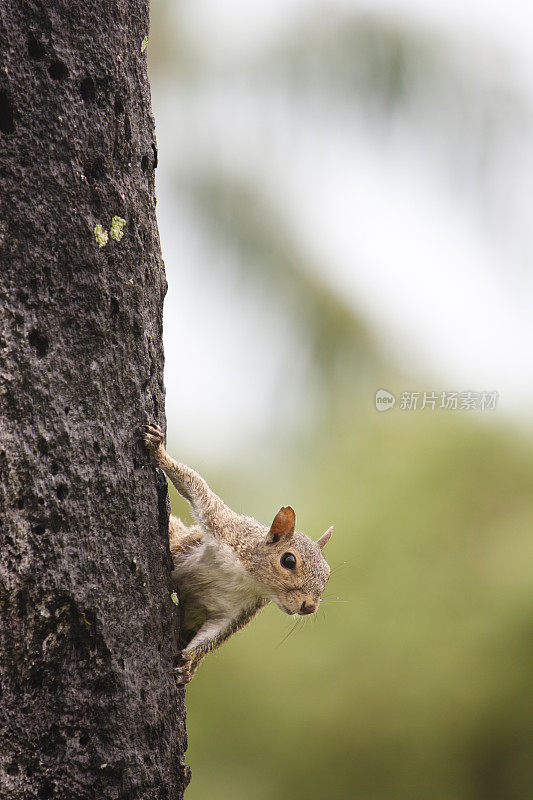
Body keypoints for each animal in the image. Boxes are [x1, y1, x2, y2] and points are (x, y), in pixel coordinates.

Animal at [139, 422, 330, 684]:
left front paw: (188, 660)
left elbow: (215, 634)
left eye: (327, 575)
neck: (246, 577)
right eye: (288, 560)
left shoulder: (239, 610)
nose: (309, 606)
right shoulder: (224, 527)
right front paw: (159, 451)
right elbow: (196, 488)